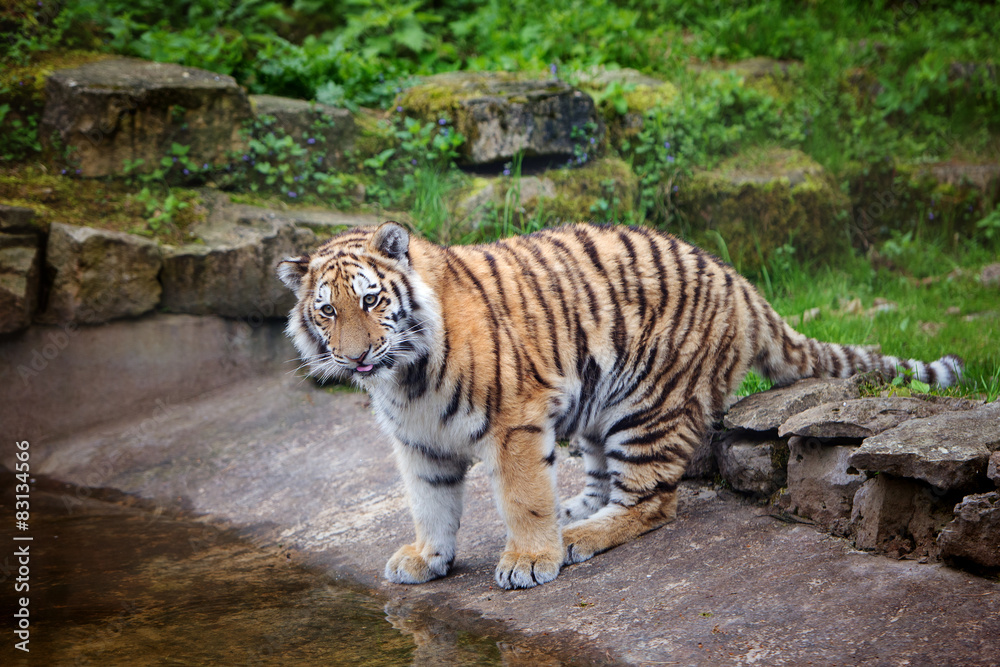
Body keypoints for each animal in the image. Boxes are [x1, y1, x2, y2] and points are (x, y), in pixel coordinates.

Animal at [278, 220, 964, 588]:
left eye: (371, 301)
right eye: (327, 310)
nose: (355, 357)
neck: (405, 377)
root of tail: (739, 280)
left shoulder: (514, 422)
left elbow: (522, 498)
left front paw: (530, 561)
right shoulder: (418, 441)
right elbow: (430, 503)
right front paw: (427, 558)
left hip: (647, 407)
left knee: (653, 501)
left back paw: (579, 538)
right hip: (595, 404)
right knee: (602, 476)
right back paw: (576, 511)